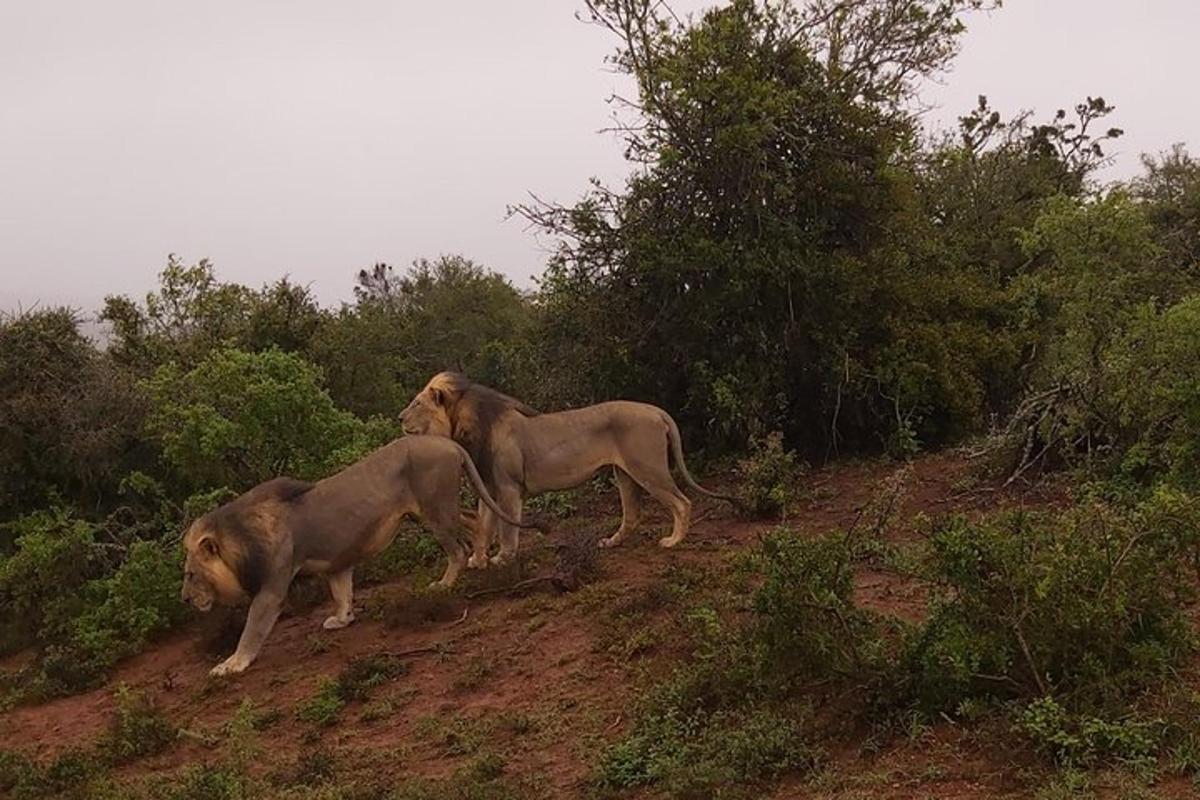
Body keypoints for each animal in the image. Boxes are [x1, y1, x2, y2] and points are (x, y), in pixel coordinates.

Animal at [178, 431, 549, 676]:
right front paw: (342, 619)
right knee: (475, 523)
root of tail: (448, 442)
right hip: (433, 510)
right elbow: (342, 592)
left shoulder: (271, 588)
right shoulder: (337, 562)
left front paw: (231, 664)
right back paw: (483, 559)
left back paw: (447, 582)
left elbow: (252, 629)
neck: (238, 540)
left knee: (458, 547)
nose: (183, 599)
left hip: (435, 509)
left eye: (191, 574)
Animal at [398, 371, 734, 566]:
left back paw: (673, 541)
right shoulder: (489, 488)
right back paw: (611, 543)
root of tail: (656, 410)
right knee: (633, 515)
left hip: (647, 469)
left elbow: (506, 529)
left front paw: (503, 558)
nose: (399, 418)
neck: (465, 426)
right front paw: (477, 560)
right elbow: (484, 525)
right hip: (625, 473)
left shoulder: (508, 488)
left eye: (416, 404)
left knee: (682, 502)